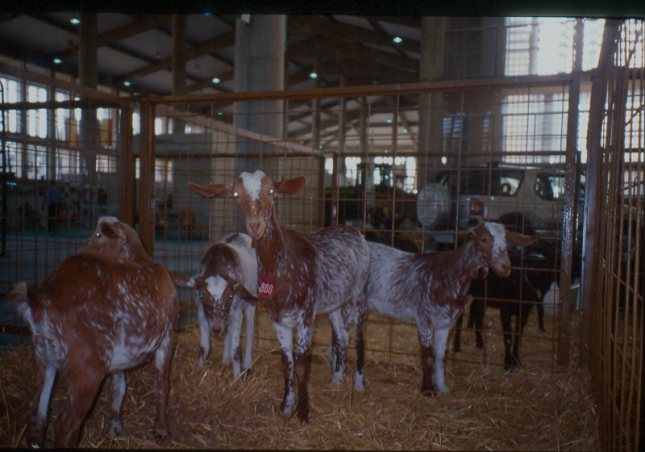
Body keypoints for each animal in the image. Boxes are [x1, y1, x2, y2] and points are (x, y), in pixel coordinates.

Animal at [7, 217, 179, 446]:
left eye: (98, 234)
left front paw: (116, 430)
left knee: (37, 417)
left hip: (43, 357)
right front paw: (162, 430)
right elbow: (162, 383)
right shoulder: (167, 336)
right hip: (86, 368)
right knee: (65, 425)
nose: (82, 249)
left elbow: (119, 389)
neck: (143, 261)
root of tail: (40, 301)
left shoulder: (119, 358)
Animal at [174, 231, 262, 376]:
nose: (215, 329)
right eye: (201, 295)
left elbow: (236, 351)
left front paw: (237, 377)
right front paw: (200, 370)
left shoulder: (236, 313)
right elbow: (204, 347)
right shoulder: (202, 313)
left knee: (250, 329)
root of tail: (240, 233)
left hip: (251, 301)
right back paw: (225, 360)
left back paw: (247, 364)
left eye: (230, 295)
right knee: (228, 331)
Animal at [187, 171, 368, 422]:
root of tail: (352, 230)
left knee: (359, 339)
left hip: (360, 294)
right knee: (342, 335)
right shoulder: (278, 319)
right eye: (236, 194)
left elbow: (301, 364)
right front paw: (286, 406)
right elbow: (286, 363)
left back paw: (359, 384)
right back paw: (337, 380)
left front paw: (303, 412)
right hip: (334, 303)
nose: (255, 225)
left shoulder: (305, 317)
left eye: (271, 191)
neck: (280, 265)